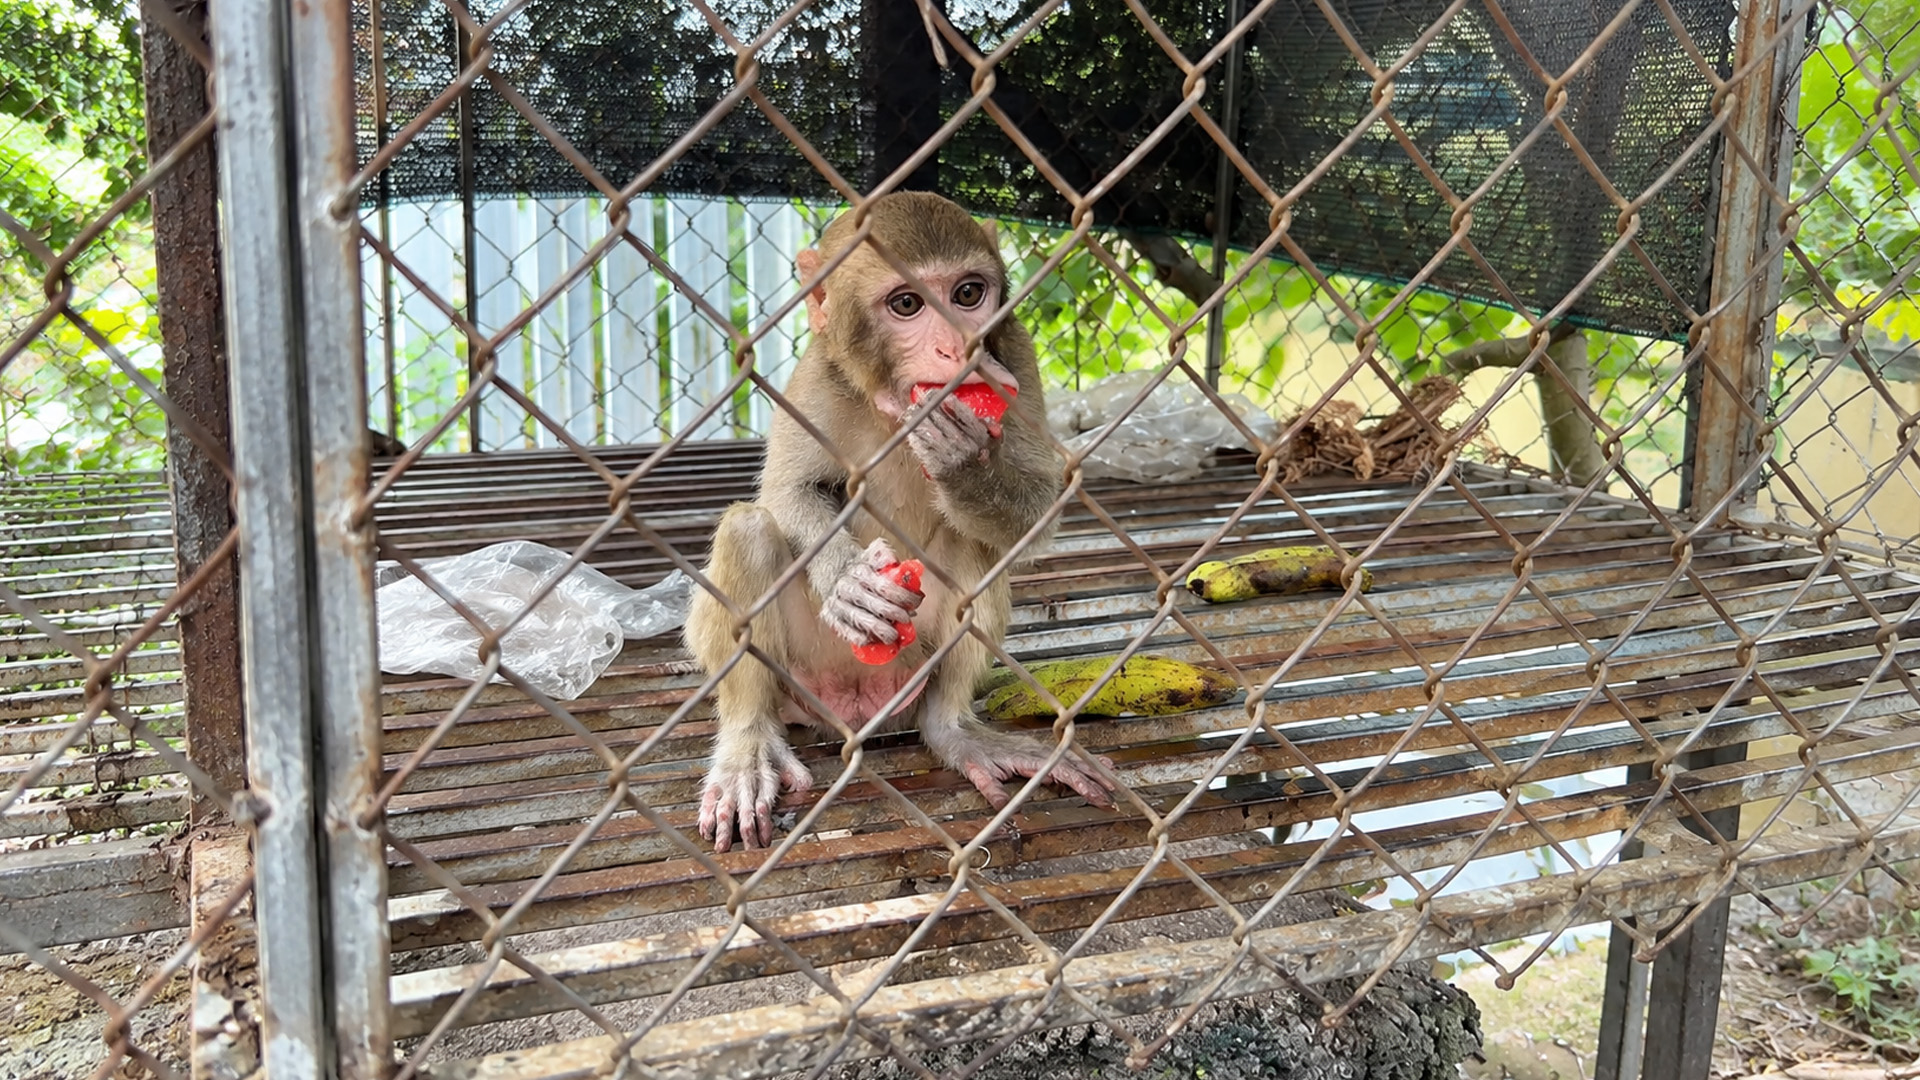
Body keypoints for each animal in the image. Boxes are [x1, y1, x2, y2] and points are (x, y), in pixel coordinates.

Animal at [683, 191, 1116, 852]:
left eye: (969, 294)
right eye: (907, 304)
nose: (959, 349)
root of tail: (856, 707)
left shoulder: (1016, 356)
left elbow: (1039, 510)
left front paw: (964, 464)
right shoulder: (815, 376)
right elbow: (787, 491)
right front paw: (848, 583)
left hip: (914, 667)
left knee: (977, 546)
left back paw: (953, 730)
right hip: (803, 679)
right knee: (750, 530)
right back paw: (749, 744)